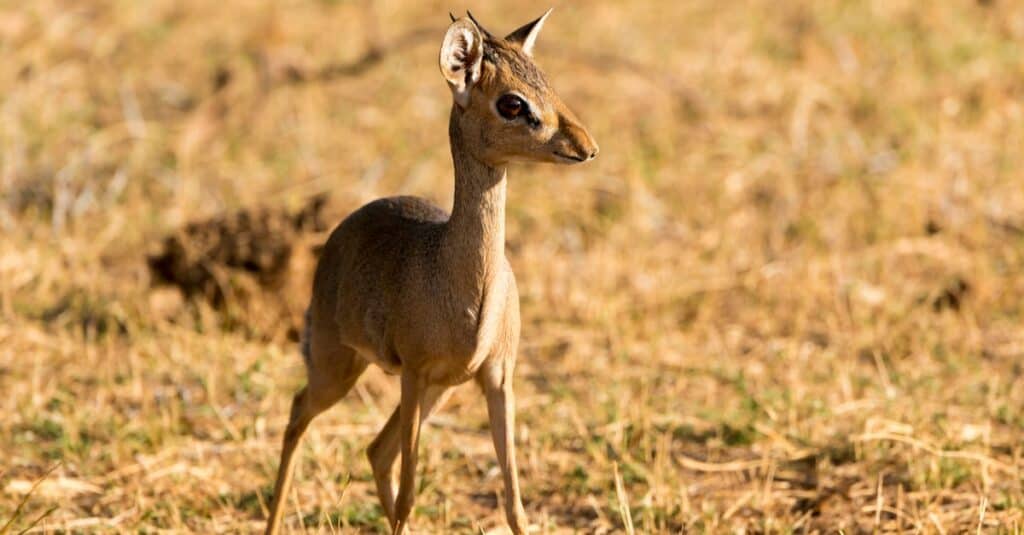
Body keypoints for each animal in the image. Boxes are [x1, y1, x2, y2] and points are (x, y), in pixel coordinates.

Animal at [264, 9, 598, 532]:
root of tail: (340, 233)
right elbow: (408, 495)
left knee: (375, 450)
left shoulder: (497, 377)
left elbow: (514, 502)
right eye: (512, 103)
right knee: (300, 414)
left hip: (436, 390)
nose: (585, 146)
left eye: (546, 81)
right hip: (340, 368)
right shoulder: (416, 373)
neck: (463, 286)